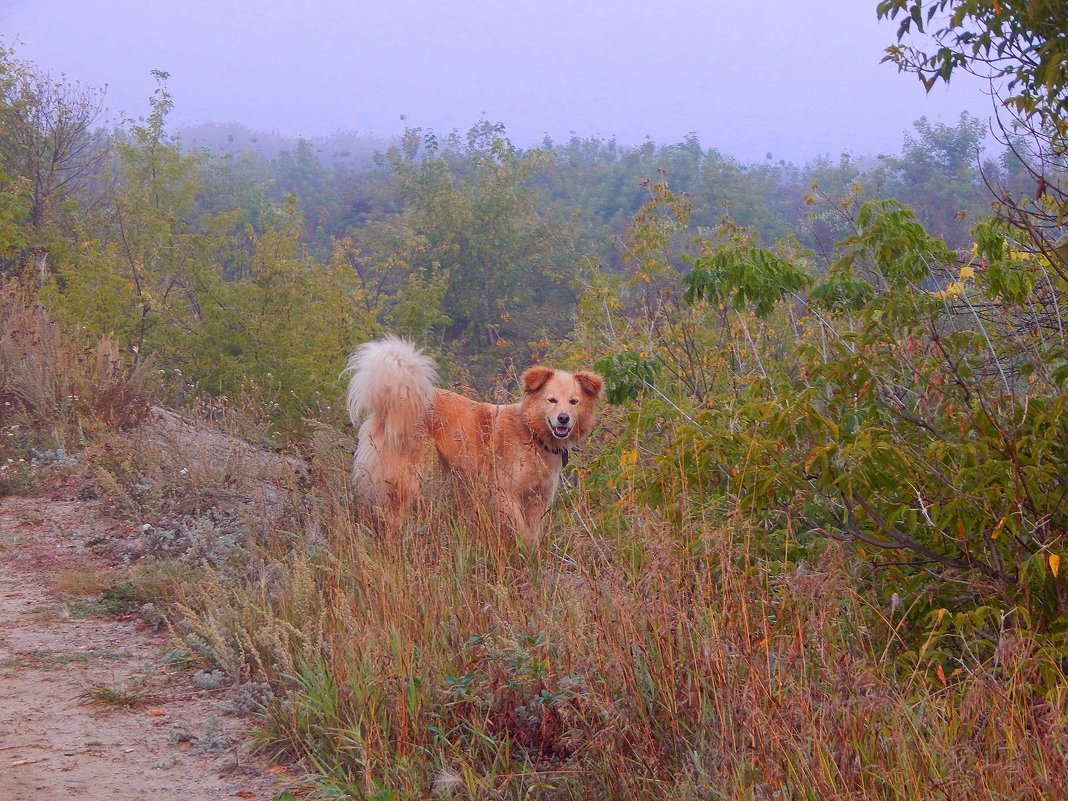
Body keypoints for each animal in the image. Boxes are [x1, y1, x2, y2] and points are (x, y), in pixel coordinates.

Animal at [346, 339, 606, 546]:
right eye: (551, 400)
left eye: (573, 401)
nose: (563, 418)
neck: (532, 434)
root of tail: (399, 397)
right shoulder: (506, 493)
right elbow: (520, 529)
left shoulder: (539, 499)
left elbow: (532, 534)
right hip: (408, 478)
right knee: (392, 516)